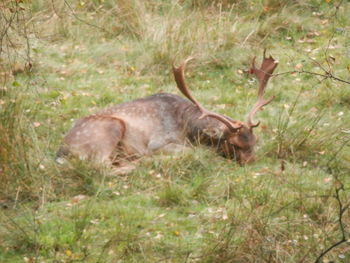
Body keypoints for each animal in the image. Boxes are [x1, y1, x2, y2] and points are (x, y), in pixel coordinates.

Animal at [56, 50, 278, 166]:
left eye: (254, 142)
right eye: (233, 144)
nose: (252, 162)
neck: (188, 128)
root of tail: (61, 153)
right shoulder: (159, 142)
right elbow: (191, 152)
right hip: (109, 128)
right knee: (100, 166)